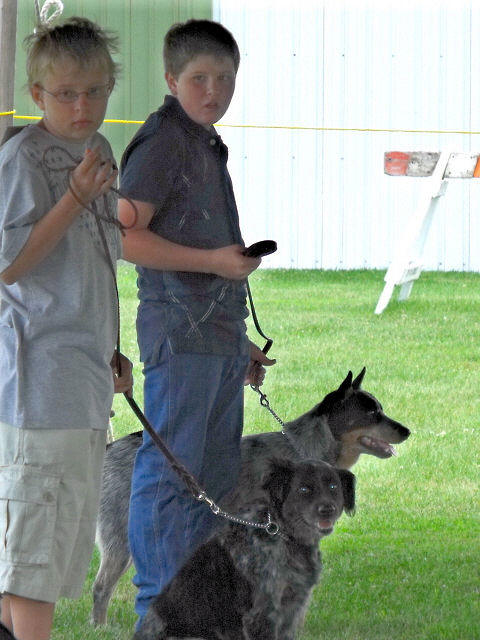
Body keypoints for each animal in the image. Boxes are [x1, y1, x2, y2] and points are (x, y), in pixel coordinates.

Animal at [133, 458, 355, 640]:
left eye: (333, 486)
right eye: (304, 489)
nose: (327, 509)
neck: (283, 535)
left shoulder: (291, 611)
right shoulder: (261, 615)